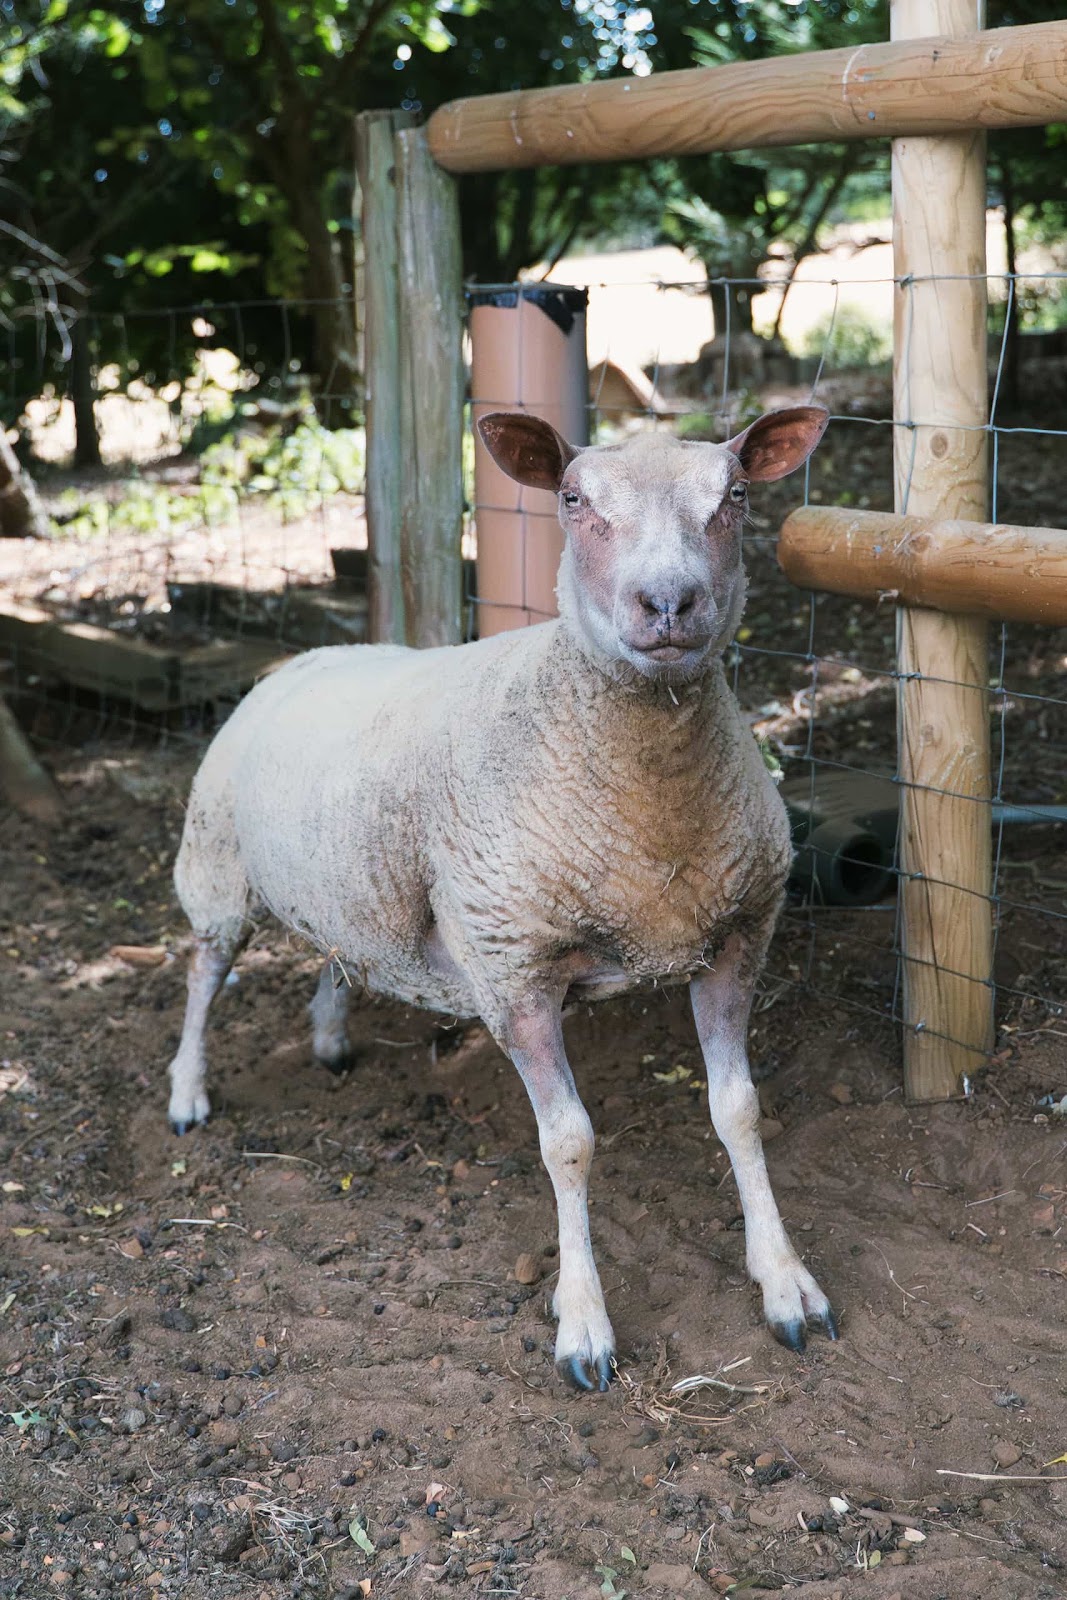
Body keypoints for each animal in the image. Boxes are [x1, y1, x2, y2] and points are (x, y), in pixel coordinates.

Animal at [167, 404, 835, 1391]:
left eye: (737, 496)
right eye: (573, 500)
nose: (668, 603)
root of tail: (310, 653)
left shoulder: (738, 936)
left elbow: (739, 1112)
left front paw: (785, 1283)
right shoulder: (511, 964)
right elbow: (570, 1144)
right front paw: (584, 1325)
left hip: (354, 886)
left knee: (338, 951)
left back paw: (328, 1038)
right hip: (216, 865)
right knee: (204, 974)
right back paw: (187, 1093)